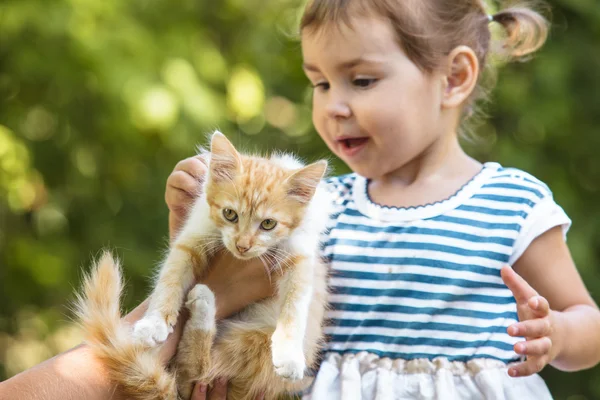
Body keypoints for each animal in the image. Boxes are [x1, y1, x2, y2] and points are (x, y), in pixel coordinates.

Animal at [75, 132, 330, 400]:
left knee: (199, 370)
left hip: (253, 341)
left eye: (268, 224)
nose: (242, 246)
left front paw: (290, 354)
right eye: (230, 214)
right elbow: (169, 280)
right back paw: (202, 305)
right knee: (192, 372)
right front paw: (154, 322)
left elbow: (296, 306)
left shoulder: (300, 259)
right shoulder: (191, 239)